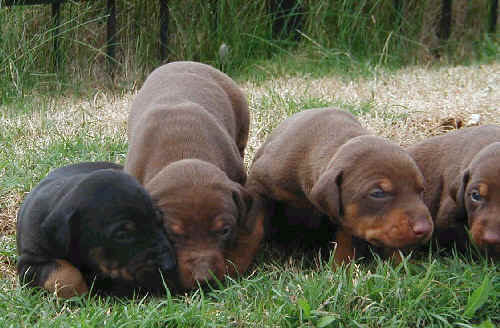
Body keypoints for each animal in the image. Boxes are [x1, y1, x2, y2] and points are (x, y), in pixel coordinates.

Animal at [16, 163, 177, 298]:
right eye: (122, 235)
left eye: (160, 221)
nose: (170, 265)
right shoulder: (28, 263)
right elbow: (65, 273)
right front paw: (82, 294)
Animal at [249, 109, 434, 266]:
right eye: (378, 193)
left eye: (421, 191)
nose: (425, 229)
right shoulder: (259, 184)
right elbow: (253, 229)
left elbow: (345, 235)